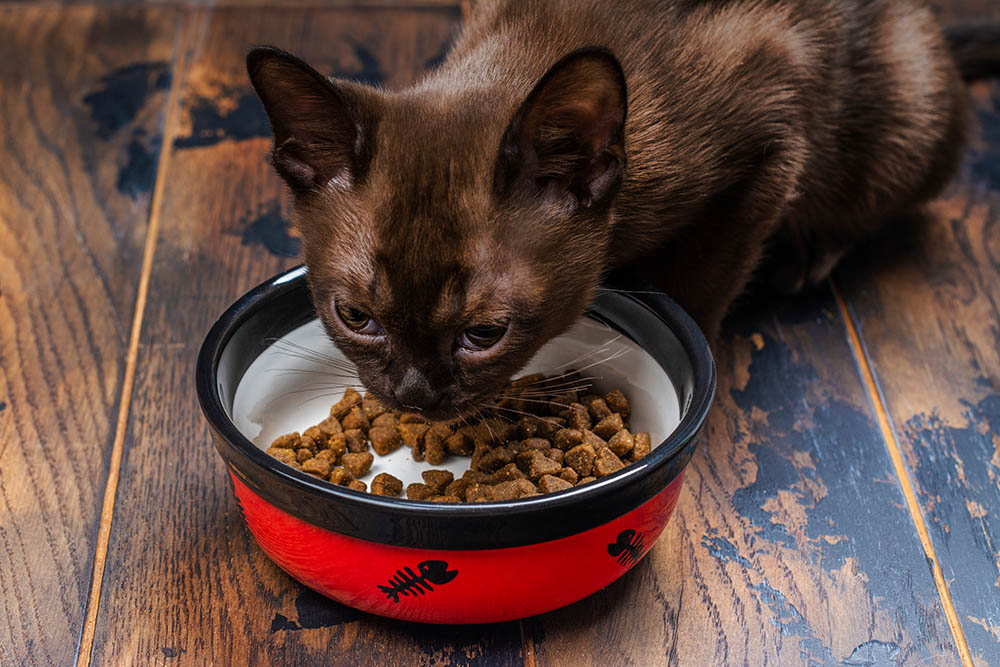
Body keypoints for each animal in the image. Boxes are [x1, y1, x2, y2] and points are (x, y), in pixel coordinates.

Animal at [248, 0, 984, 420]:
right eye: (355, 318)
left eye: (483, 334)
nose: (412, 397)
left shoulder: (773, 147)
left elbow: (696, 294)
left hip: (894, 132)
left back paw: (809, 254)